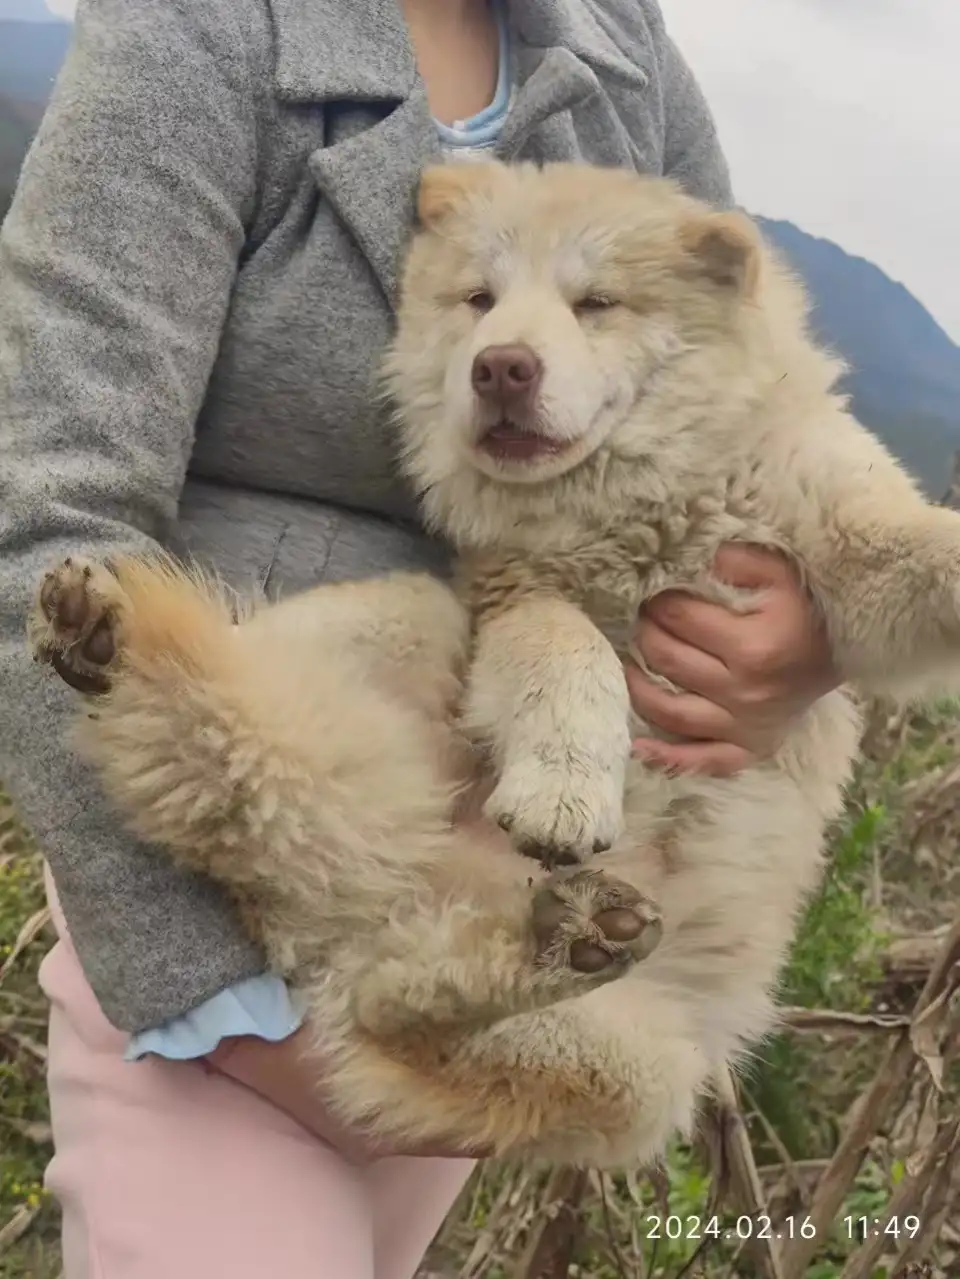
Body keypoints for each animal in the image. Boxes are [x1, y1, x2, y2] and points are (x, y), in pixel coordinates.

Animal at [28, 159, 960, 1171]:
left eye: (596, 303)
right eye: (479, 299)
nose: (501, 366)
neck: (649, 512)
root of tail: (392, 887)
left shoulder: (845, 557)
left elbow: (921, 553)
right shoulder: (511, 597)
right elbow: (573, 652)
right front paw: (566, 788)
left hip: (642, 1068)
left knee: (396, 1011)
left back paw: (554, 938)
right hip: (411, 628)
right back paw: (111, 637)